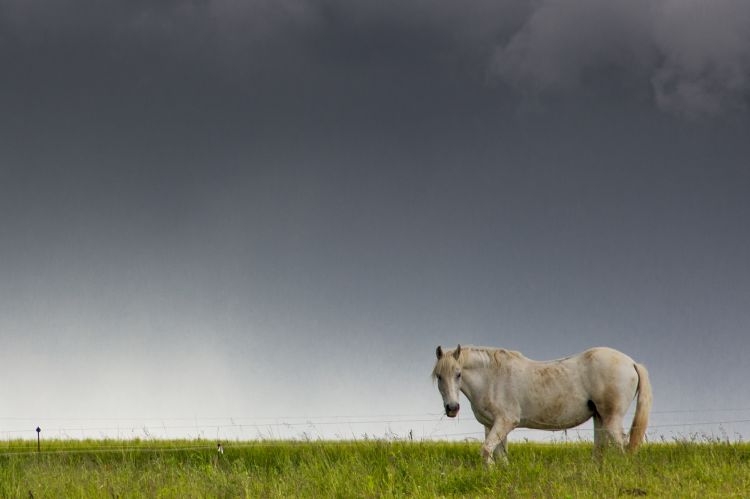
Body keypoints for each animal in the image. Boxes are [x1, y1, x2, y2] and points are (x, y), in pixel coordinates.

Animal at [434, 344, 652, 464]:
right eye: (439, 376)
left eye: (458, 374)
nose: (452, 408)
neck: (492, 377)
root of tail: (631, 363)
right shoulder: (491, 425)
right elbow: (499, 454)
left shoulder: (505, 422)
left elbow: (487, 450)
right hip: (599, 417)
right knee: (600, 448)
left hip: (612, 418)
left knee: (621, 445)